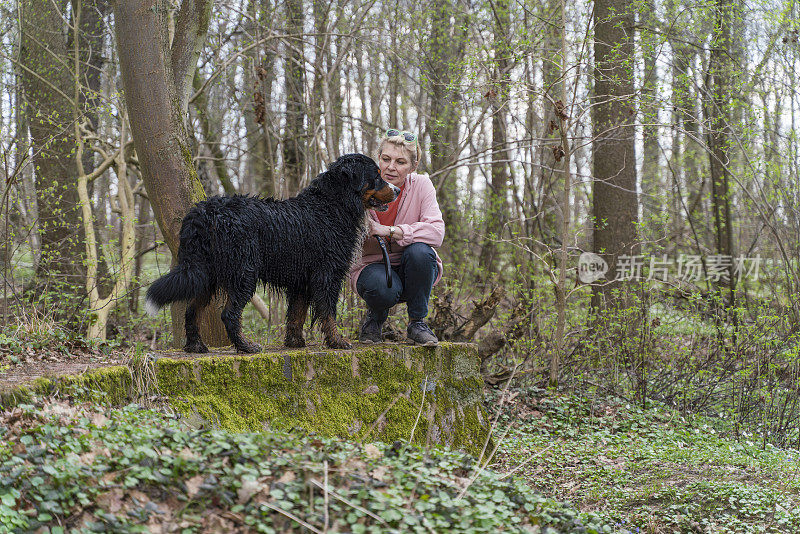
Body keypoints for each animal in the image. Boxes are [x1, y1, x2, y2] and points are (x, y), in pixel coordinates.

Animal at [145, 155, 400, 354]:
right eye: (376, 176)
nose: (397, 189)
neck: (331, 206)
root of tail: (204, 212)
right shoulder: (328, 274)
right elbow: (328, 313)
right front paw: (337, 341)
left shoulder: (302, 280)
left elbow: (296, 314)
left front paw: (295, 342)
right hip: (244, 273)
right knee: (229, 314)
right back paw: (246, 346)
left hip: (206, 274)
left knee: (192, 311)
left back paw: (196, 346)